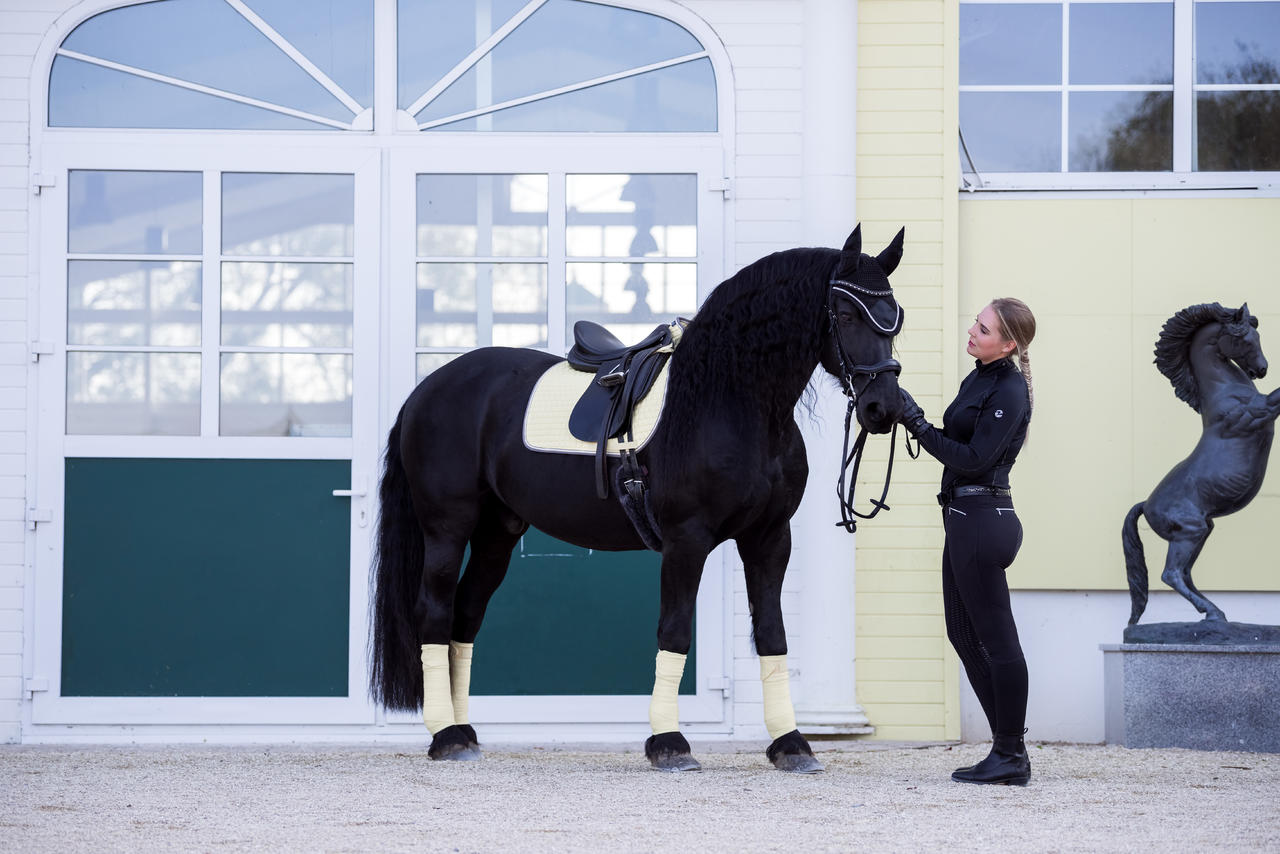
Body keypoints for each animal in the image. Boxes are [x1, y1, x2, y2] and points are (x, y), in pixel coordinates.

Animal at [373, 224, 911, 773]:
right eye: (846, 314)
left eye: (895, 317)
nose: (883, 407)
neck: (727, 400)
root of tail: (428, 390)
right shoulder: (686, 540)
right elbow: (673, 632)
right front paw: (670, 743)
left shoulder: (768, 538)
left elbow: (772, 635)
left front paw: (791, 744)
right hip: (447, 527)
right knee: (434, 613)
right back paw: (445, 736)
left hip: (495, 535)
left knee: (465, 616)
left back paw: (464, 733)